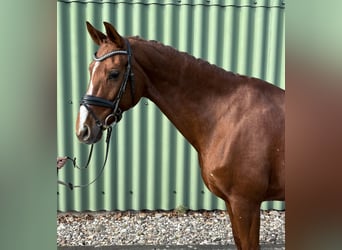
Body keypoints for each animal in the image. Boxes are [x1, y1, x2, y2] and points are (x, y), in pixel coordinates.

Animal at [76, 22, 284, 250]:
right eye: (90, 69)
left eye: (113, 73)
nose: (83, 129)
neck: (227, 116)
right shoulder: (233, 203)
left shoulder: (245, 204)